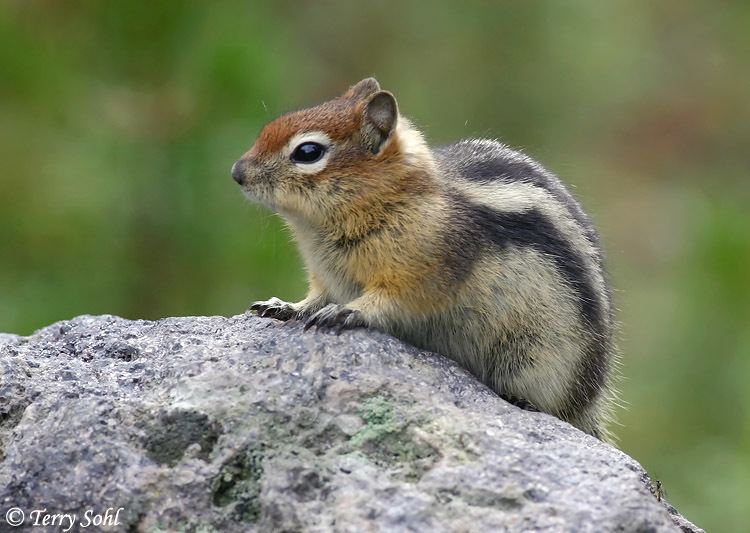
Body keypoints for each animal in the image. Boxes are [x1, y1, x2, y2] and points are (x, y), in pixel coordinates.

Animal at [234, 78, 616, 436]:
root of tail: (589, 403)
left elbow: (393, 300)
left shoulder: (424, 270)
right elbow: (314, 298)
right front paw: (284, 307)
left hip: (538, 356)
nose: (237, 173)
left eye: (308, 151)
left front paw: (349, 311)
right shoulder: (325, 277)